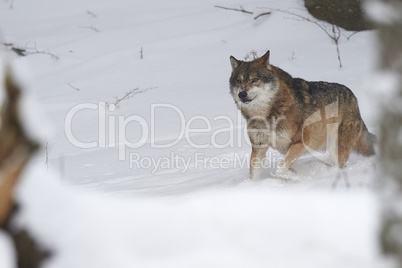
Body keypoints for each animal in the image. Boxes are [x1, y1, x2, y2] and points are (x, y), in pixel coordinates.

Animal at [231, 50, 376, 180]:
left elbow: (278, 169)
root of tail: (353, 97)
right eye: (239, 81)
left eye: (255, 80)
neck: (268, 113)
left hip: (336, 148)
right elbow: (254, 175)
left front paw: (293, 177)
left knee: (341, 166)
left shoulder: (301, 142)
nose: (242, 94)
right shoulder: (259, 148)